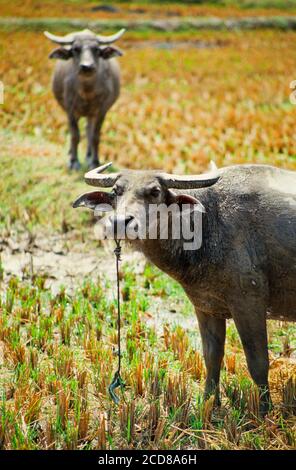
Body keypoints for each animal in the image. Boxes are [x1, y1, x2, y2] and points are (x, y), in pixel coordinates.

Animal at [44, 28, 125, 170]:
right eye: (76, 49)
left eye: (96, 49)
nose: (86, 66)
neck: (87, 92)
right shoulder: (70, 110)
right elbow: (75, 135)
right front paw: (74, 162)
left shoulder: (101, 111)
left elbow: (95, 136)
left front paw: (95, 162)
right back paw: (71, 153)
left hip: (91, 114)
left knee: (88, 130)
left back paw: (88, 156)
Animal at [73, 162, 296, 414]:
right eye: (115, 191)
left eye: (155, 192)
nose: (121, 223)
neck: (207, 224)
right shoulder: (206, 306)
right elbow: (212, 356)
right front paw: (210, 403)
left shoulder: (249, 303)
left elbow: (258, 362)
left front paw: (264, 411)